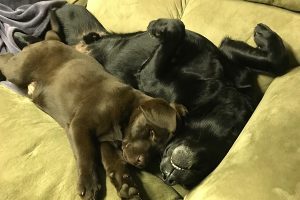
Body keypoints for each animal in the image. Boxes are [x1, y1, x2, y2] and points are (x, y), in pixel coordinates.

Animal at [16, 4, 290, 188]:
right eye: (233, 134)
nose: (169, 178)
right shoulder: (226, 59)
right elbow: (275, 61)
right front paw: (265, 36)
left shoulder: (150, 77)